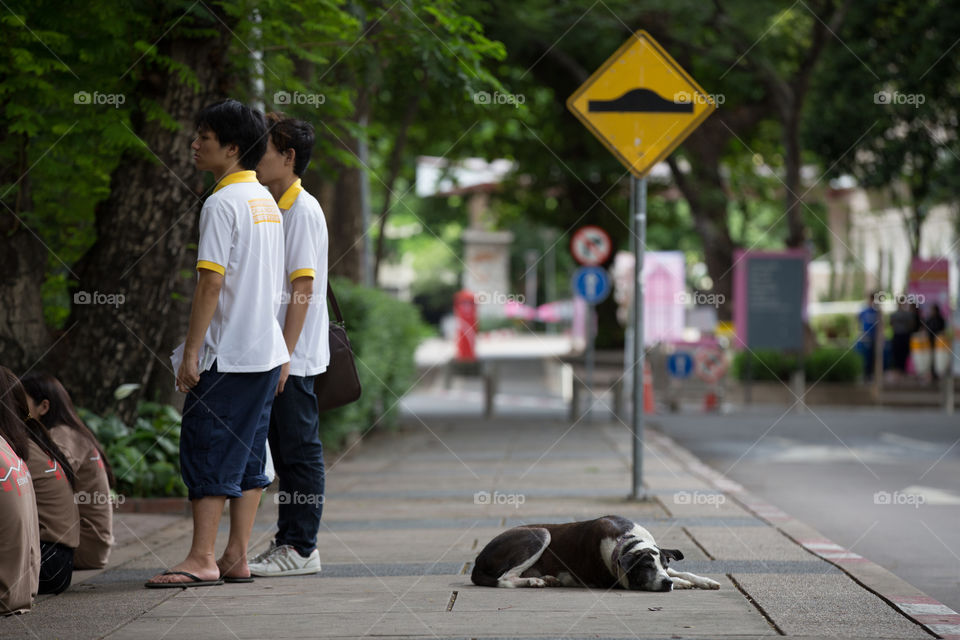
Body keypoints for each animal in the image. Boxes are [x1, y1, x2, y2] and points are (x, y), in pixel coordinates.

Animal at [472, 516, 720, 592]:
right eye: (646, 567)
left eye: (663, 566)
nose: (667, 583)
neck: (627, 542)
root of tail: (477, 561)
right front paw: (681, 583)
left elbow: (683, 572)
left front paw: (702, 581)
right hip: (540, 534)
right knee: (505, 578)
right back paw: (535, 580)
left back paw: (544, 578)